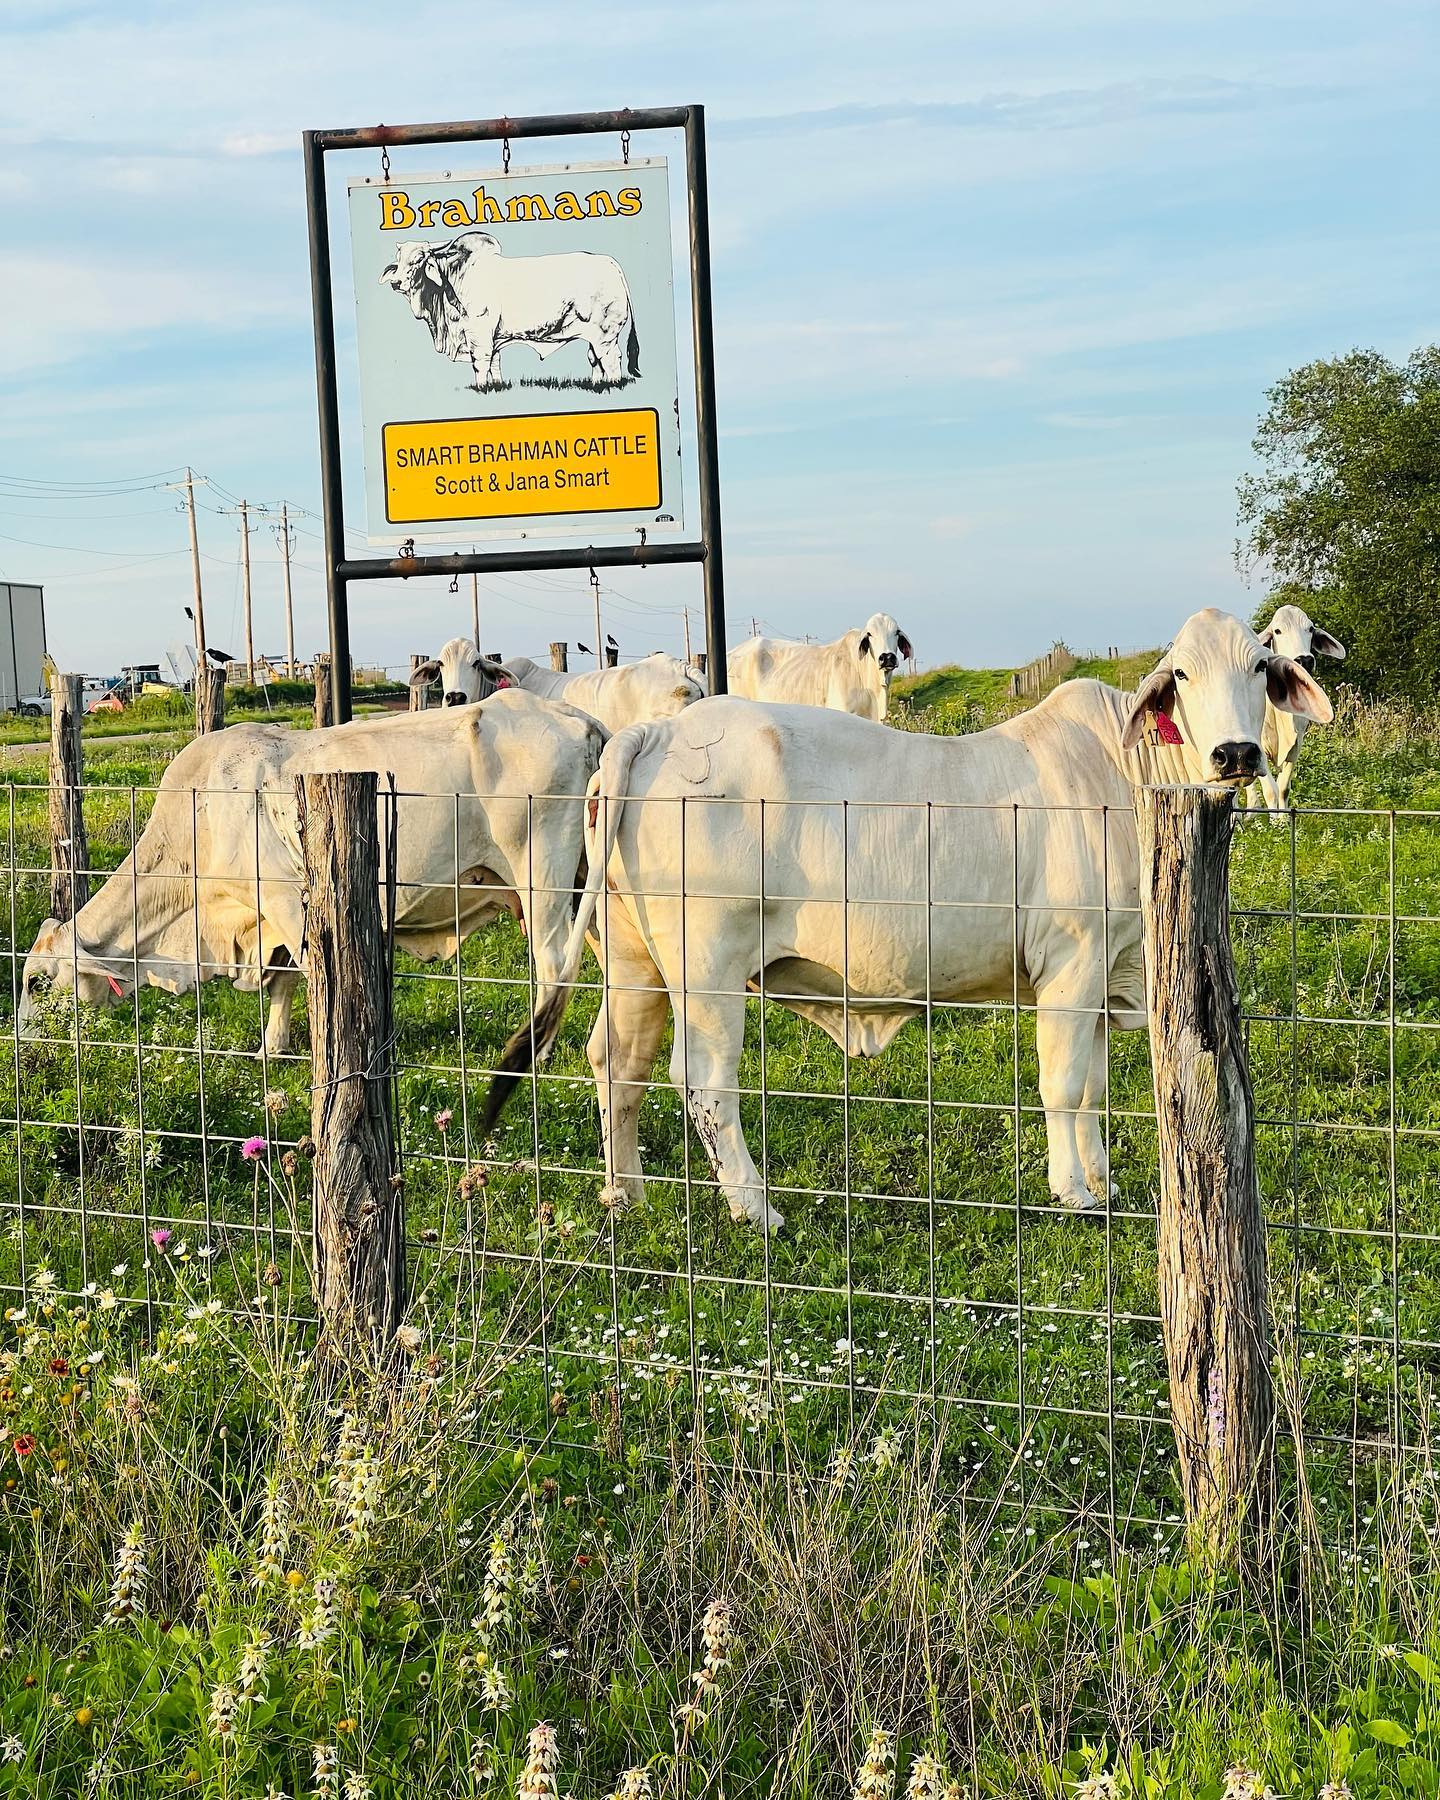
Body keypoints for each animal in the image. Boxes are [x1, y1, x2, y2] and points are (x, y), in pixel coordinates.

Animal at [18, 693, 604, 1059]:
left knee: (554, 964)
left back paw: (537, 1051)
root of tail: (582, 721)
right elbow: (280, 984)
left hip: (543, 879)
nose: (22, 1041)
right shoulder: (266, 922)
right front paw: (271, 1047)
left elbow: (315, 980)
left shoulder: (285, 905)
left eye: (35, 982)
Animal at [379, 233, 639, 390]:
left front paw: (481, 387)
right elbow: (495, 362)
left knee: (611, 359)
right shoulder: (492, 337)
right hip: (593, 335)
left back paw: (612, 385)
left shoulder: (479, 332)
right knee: (595, 359)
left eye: (419, 259)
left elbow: (480, 362)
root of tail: (611, 263)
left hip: (606, 333)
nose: (396, 282)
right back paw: (596, 385)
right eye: (398, 260)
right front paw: (494, 386)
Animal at [1248, 603, 1346, 818]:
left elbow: (1283, 788)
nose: (1305, 659)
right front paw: (1274, 822)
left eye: (1310, 629)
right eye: (1277, 630)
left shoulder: (1296, 745)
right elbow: (1271, 790)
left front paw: (1283, 820)